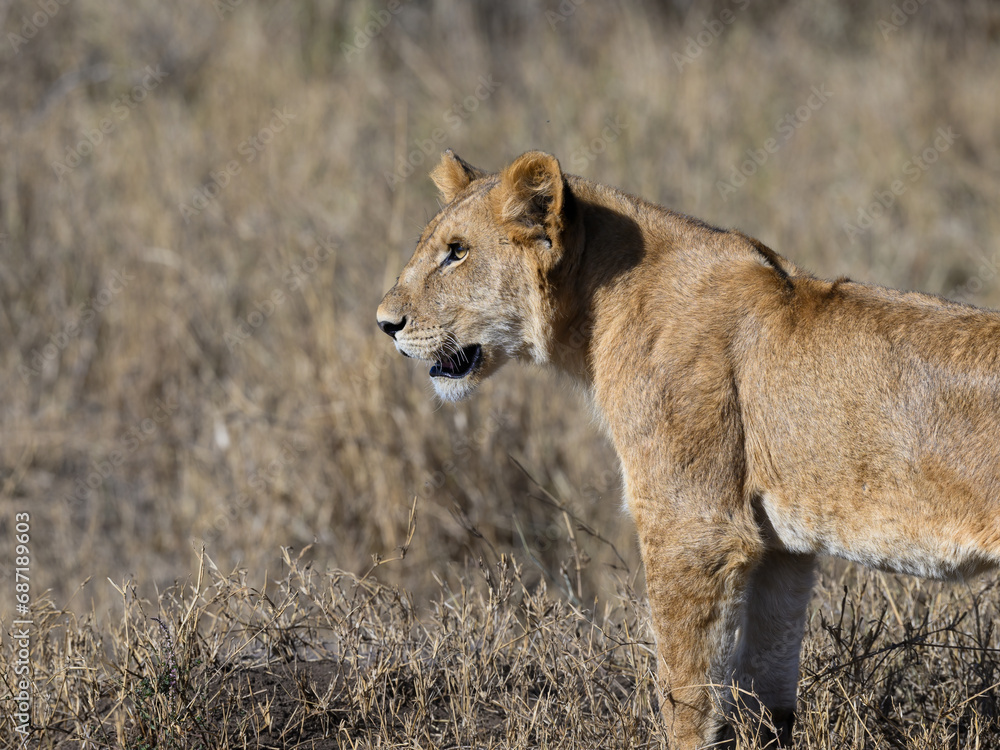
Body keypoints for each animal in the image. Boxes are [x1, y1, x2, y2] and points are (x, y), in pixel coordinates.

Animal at [376, 149, 1000, 748]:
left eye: (457, 252)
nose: (385, 323)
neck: (596, 308)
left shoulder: (695, 529)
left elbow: (686, 694)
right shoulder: (782, 548)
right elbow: (768, 691)